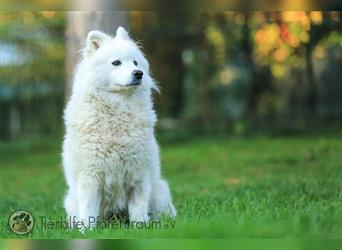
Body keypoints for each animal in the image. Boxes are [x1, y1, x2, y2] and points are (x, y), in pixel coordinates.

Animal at [61, 26, 176, 229]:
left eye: (136, 62)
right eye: (116, 63)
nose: (138, 73)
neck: (118, 110)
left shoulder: (139, 176)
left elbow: (138, 210)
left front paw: (141, 228)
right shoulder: (90, 178)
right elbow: (89, 211)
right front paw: (86, 232)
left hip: (160, 191)